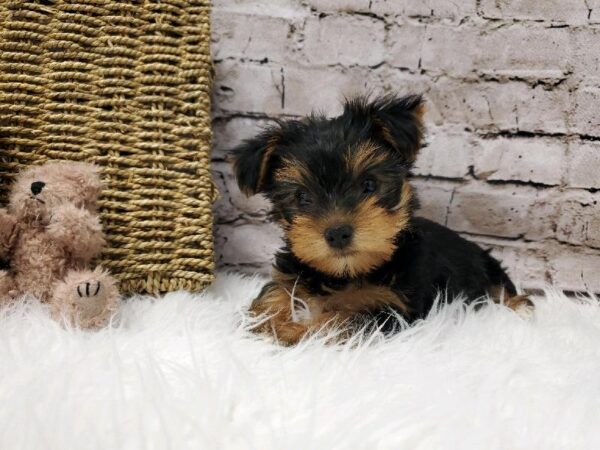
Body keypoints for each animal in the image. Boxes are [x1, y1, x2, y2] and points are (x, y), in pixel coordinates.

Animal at [226, 95, 528, 346]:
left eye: (369, 185)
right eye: (302, 197)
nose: (337, 233)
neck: (347, 273)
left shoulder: (391, 307)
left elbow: (341, 319)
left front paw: (294, 330)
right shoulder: (292, 272)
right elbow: (274, 291)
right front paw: (260, 321)